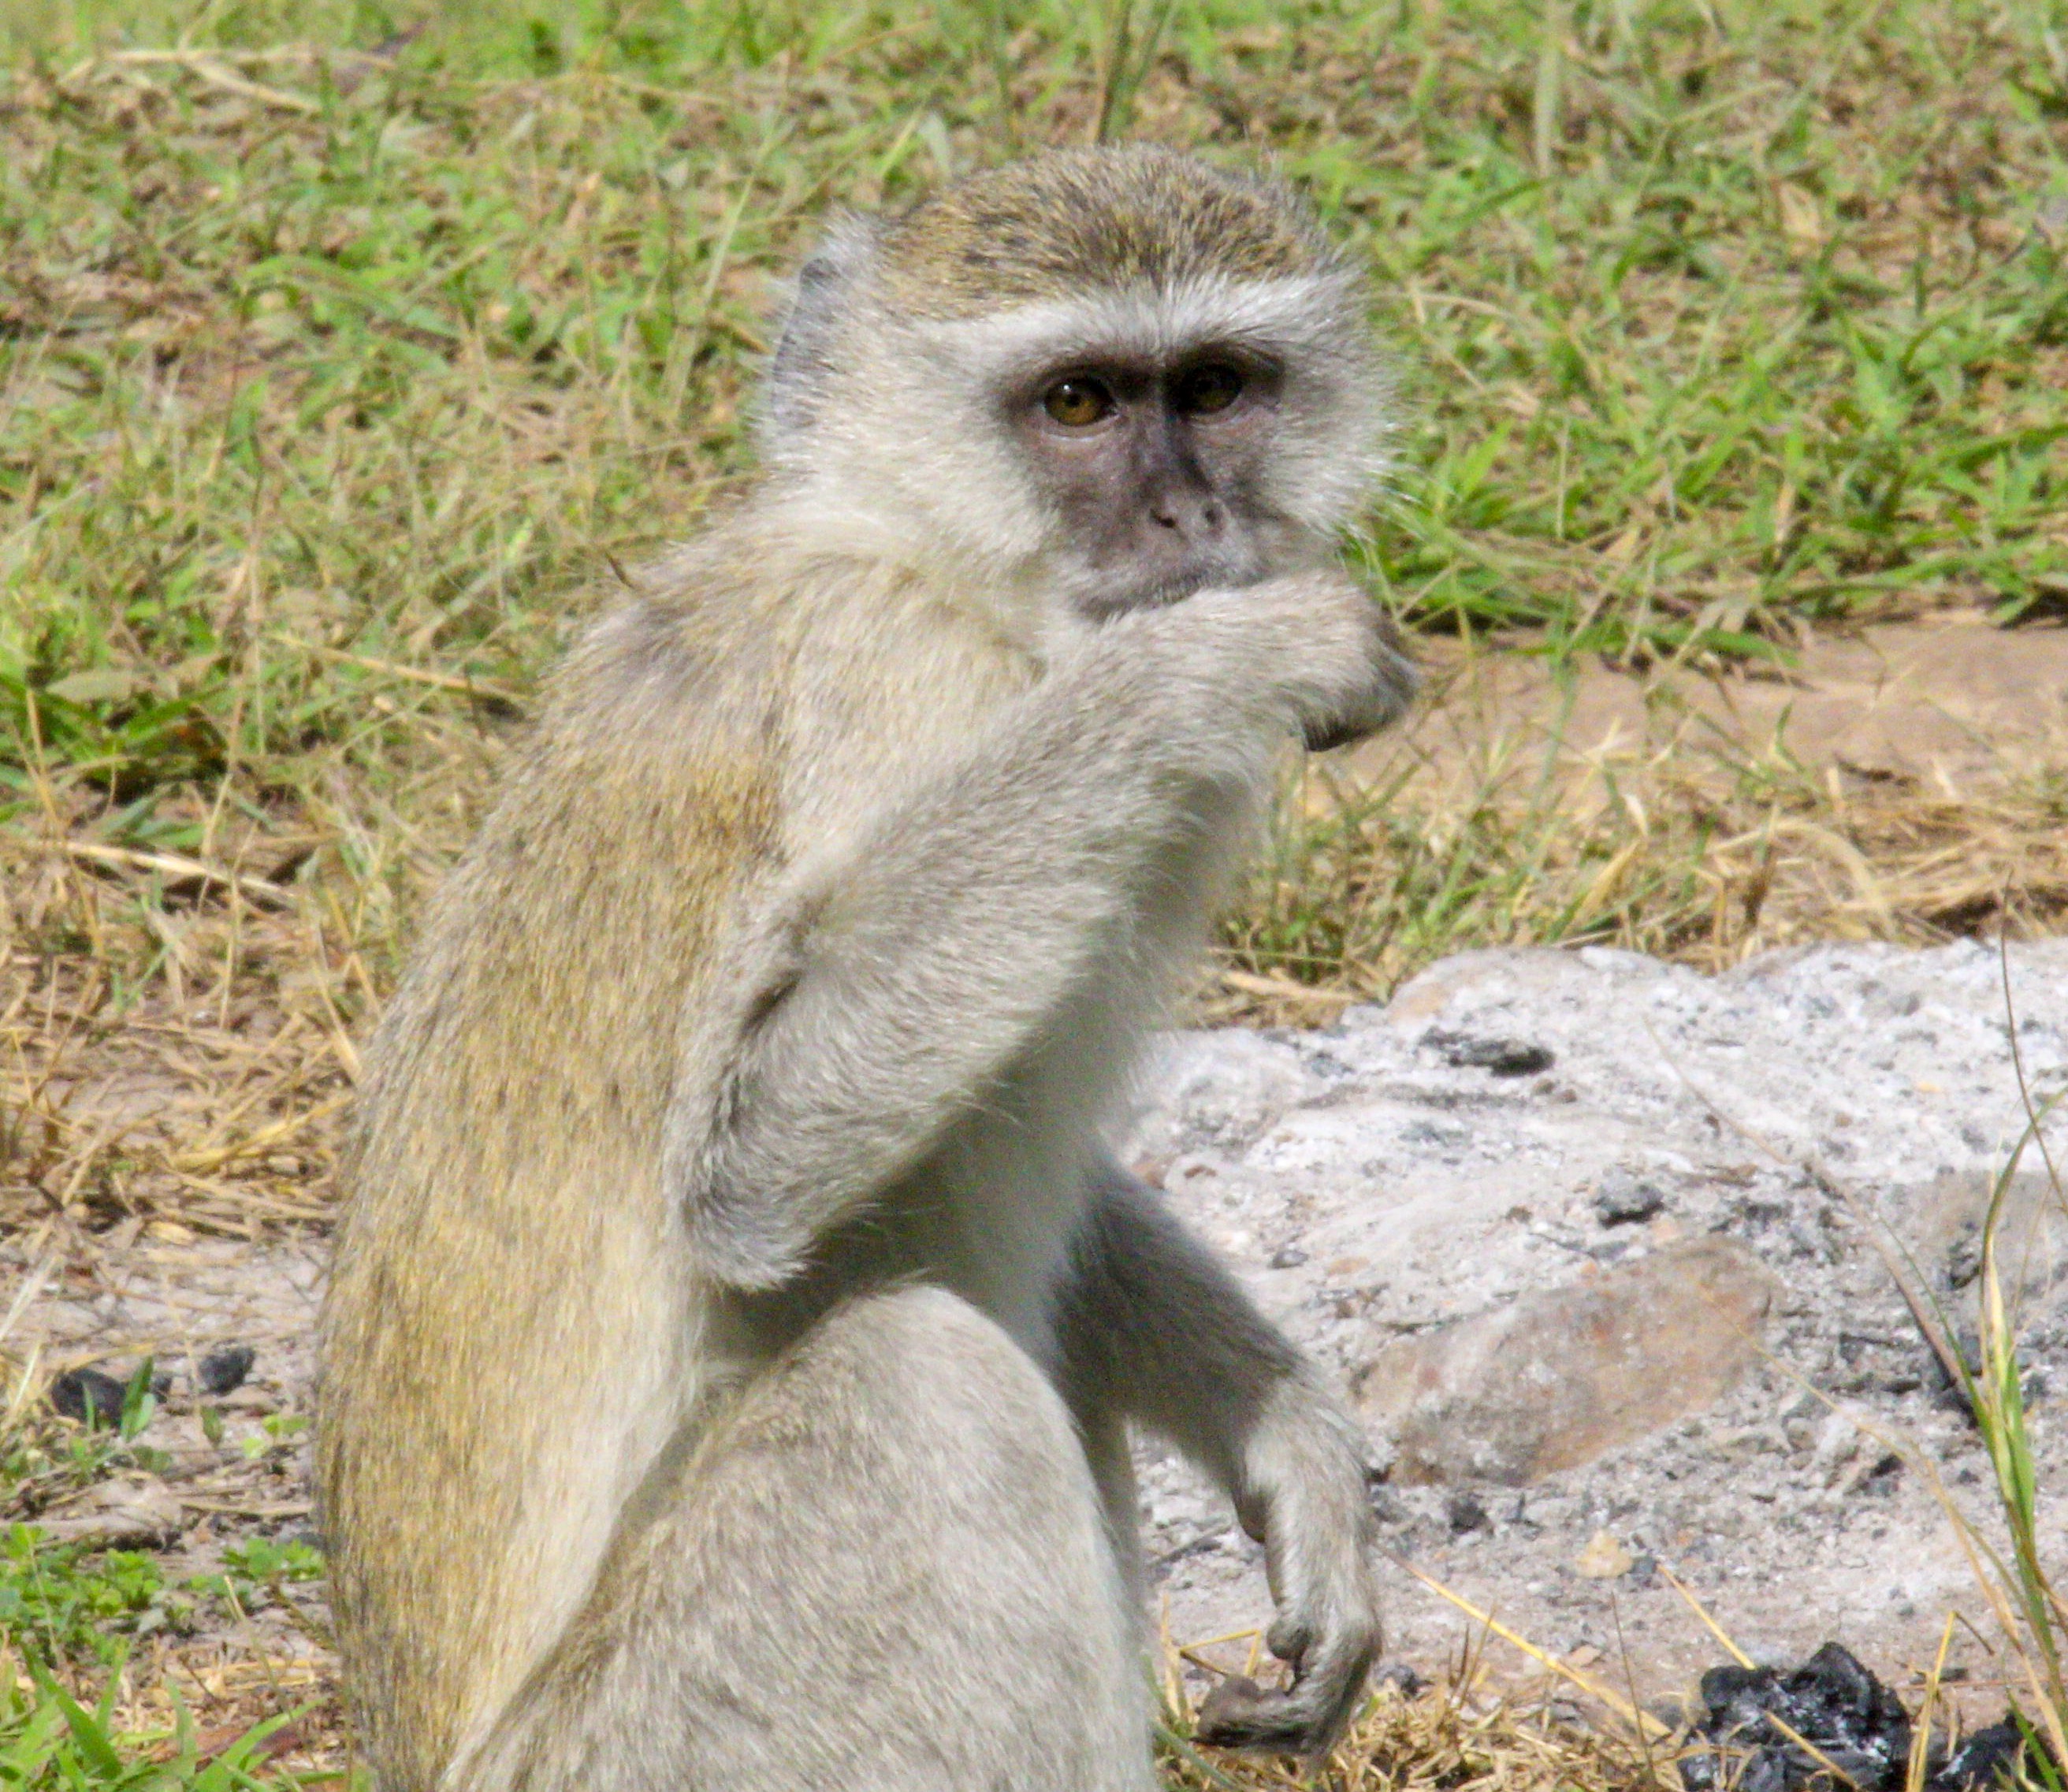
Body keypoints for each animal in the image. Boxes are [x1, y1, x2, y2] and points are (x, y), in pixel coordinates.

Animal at [316, 143, 1417, 1792]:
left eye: (1218, 387)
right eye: (1077, 402)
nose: (1187, 519)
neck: (943, 572)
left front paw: (1283, 1429)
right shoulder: (889, 677)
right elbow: (746, 1159)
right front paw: (1212, 661)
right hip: (670, 1739)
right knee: (921, 1386)